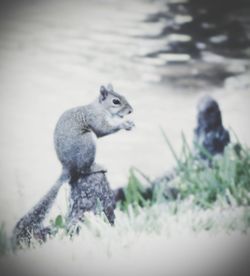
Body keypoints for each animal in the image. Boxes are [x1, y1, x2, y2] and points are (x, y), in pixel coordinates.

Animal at [12, 84, 135, 246]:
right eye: (116, 101)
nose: (131, 111)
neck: (100, 108)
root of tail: (67, 167)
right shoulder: (95, 118)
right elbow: (103, 130)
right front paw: (124, 124)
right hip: (87, 142)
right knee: (83, 170)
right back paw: (97, 167)